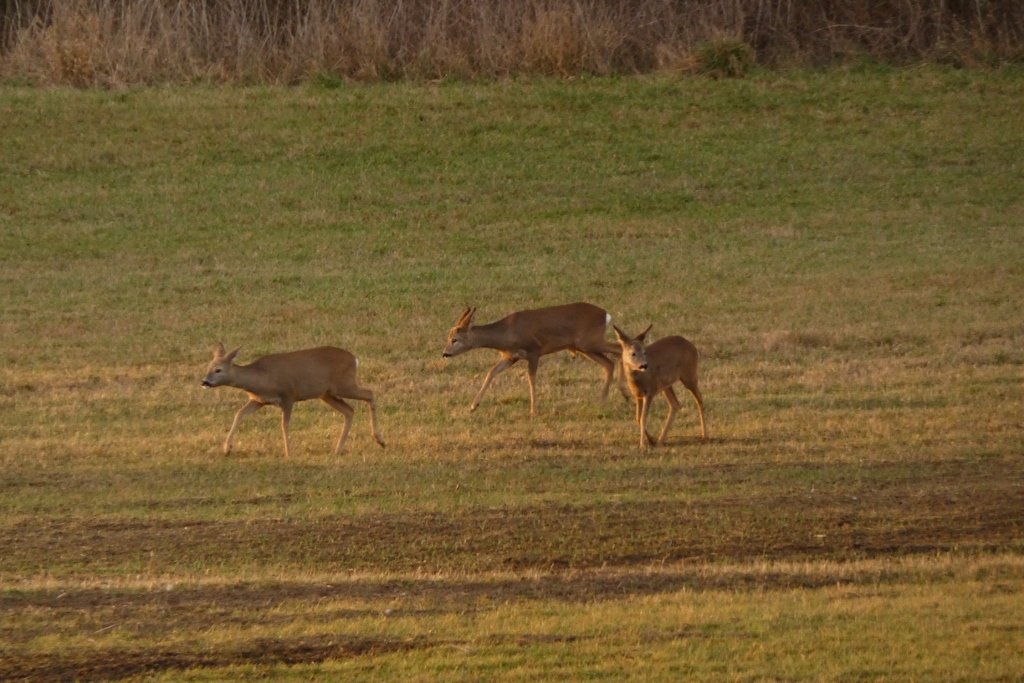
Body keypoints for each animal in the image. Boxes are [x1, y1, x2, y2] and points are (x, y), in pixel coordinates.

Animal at [199, 342, 385, 458]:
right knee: (349, 411)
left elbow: (285, 425)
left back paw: (380, 440)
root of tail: (354, 359)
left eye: (218, 370)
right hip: (326, 393)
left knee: (369, 394)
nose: (204, 382)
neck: (261, 378)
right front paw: (226, 449)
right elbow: (239, 414)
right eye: (208, 367)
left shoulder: (288, 396)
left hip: (343, 384)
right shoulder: (259, 400)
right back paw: (338, 450)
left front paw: (288, 453)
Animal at [442, 305, 626, 417]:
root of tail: (606, 315)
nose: (445, 353)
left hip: (589, 341)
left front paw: (533, 410)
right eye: (449, 338)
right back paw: (605, 400)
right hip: (584, 347)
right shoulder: (510, 357)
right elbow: (491, 372)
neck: (506, 333)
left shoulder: (533, 350)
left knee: (620, 348)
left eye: (455, 339)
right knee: (609, 363)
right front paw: (473, 405)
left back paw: (624, 392)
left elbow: (531, 378)